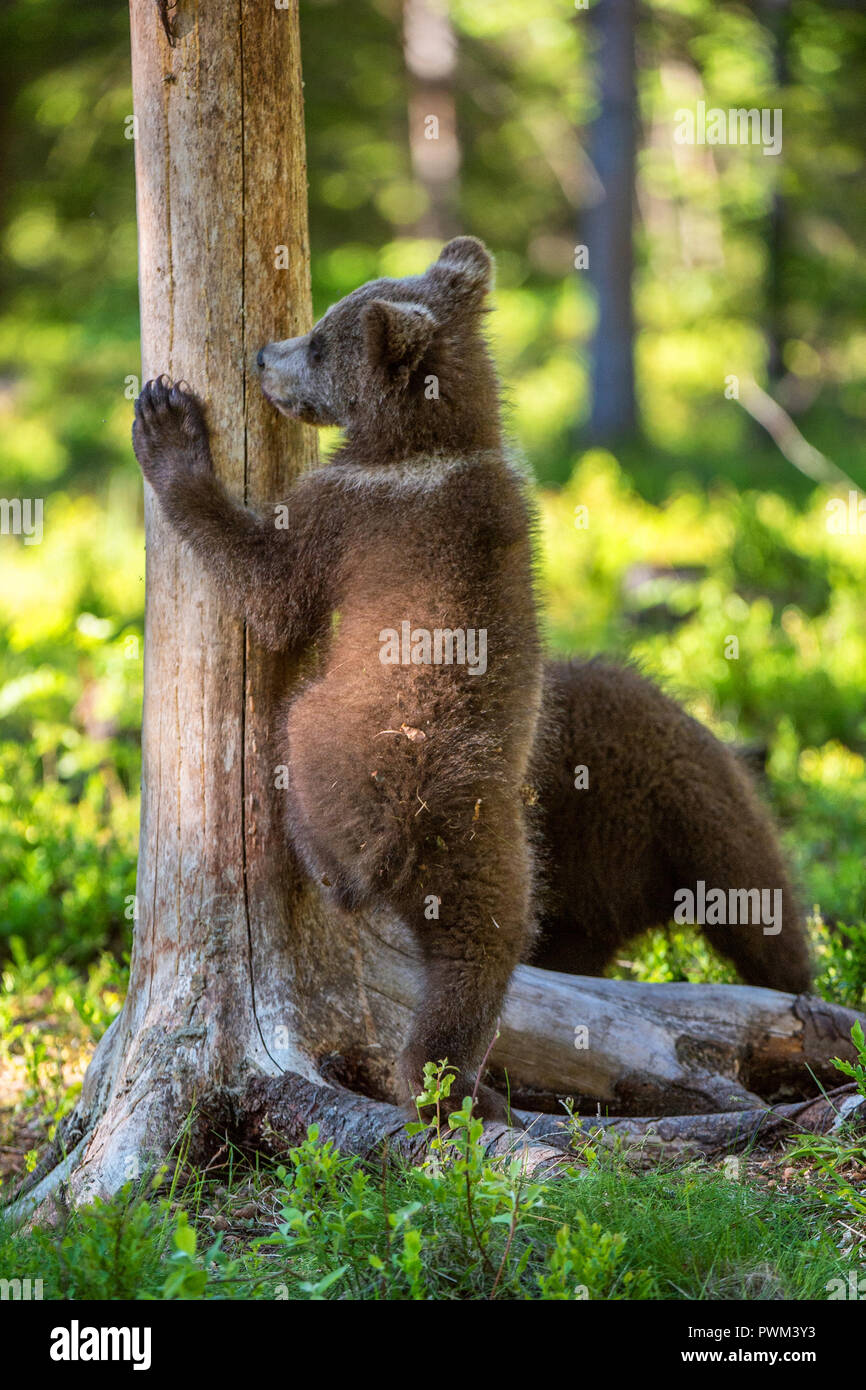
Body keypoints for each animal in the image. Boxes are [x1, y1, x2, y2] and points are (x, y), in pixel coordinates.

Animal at [132, 235, 811, 1120]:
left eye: (318, 339)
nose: (260, 355)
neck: (428, 443)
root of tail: (410, 830)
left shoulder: (348, 517)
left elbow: (272, 592)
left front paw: (167, 429)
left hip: (342, 744)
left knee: (308, 753)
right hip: (501, 862)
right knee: (481, 963)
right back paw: (462, 1090)